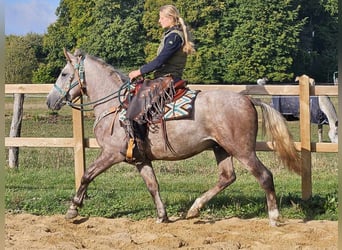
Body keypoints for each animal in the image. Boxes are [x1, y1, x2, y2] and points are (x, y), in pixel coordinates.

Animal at [45, 48, 300, 227]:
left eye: (64, 73)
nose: (50, 101)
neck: (115, 107)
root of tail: (247, 99)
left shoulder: (111, 154)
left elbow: (87, 175)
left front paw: (73, 209)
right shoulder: (140, 159)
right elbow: (152, 185)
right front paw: (162, 215)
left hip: (242, 150)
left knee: (264, 176)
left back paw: (274, 217)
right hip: (221, 149)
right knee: (227, 177)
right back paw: (194, 209)